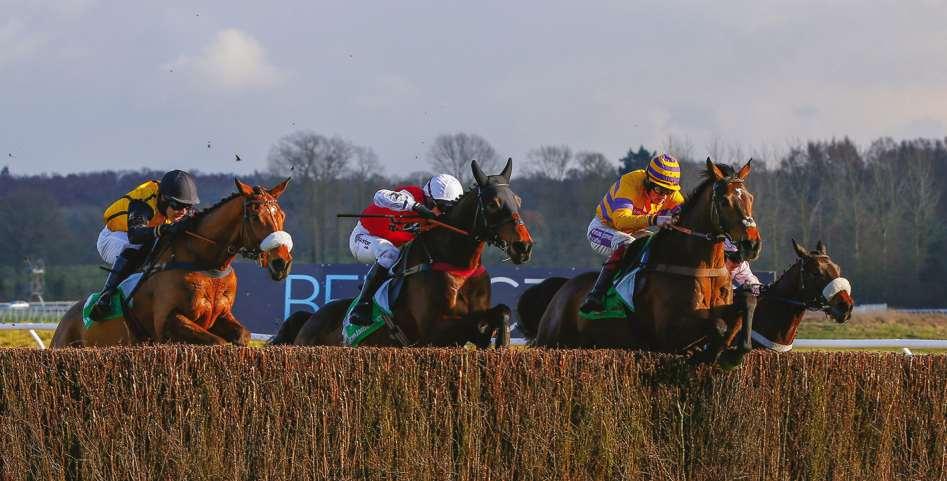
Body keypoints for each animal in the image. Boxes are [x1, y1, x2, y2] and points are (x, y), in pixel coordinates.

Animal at [51, 179, 294, 347]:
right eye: (254, 217)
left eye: (282, 215)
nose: (281, 263)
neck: (206, 264)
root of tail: (63, 321)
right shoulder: (167, 321)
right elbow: (218, 342)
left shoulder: (220, 316)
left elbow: (242, 335)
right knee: (128, 249)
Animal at [269, 158, 533, 348]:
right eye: (493, 203)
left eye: (518, 200)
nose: (523, 246)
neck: (456, 263)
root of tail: (310, 317)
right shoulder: (434, 332)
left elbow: (501, 311)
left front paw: (501, 341)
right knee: (385, 255)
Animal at [531, 158, 762, 365]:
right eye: (724, 201)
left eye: (750, 198)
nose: (752, 244)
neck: (696, 265)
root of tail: (561, 291)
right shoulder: (669, 331)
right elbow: (718, 325)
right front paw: (708, 353)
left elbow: (745, 305)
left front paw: (732, 353)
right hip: (552, 339)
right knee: (621, 244)